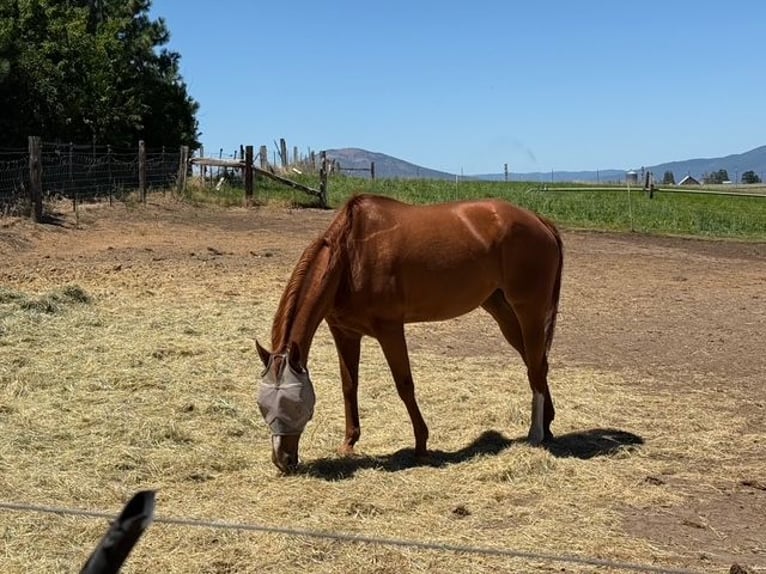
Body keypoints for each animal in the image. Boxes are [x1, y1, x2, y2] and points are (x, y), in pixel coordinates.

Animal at [256, 193, 564, 473]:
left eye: (296, 405)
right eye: (262, 406)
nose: (282, 460)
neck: (350, 255)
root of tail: (540, 221)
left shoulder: (390, 329)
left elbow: (404, 385)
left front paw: (421, 446)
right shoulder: (345, 333)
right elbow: (349, 386)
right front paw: (349, 443)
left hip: (529, 310)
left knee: (536, 366)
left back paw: (535, 434)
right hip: (500, 309)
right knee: (536, 362)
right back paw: (547, 423)